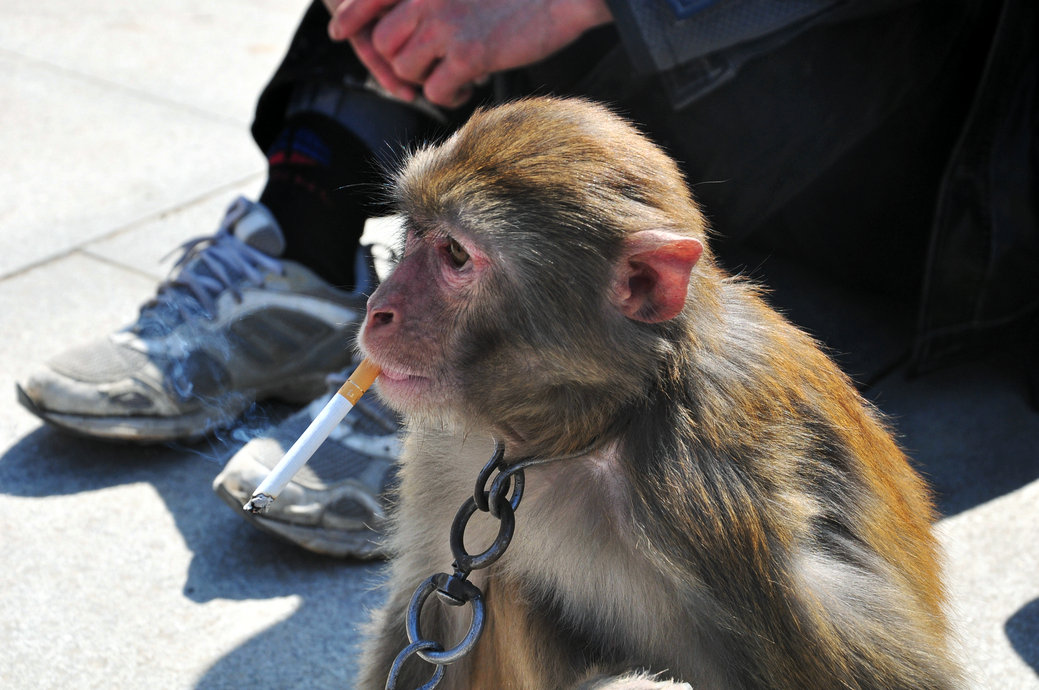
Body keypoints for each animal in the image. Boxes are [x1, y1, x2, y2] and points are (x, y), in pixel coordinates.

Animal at [353, 97, 960, 690]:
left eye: (456, 254)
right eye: (415, 232)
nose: (378, 308)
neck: (588, 427)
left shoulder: (715, 498)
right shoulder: (444, 452)